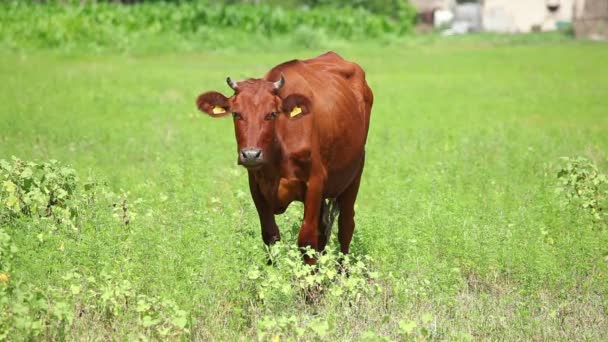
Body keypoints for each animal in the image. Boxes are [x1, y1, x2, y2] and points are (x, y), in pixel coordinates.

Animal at [197, 51, 372, 262]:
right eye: (236, 114)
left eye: (272, 114)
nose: (251, 155)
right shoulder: (256, 185)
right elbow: (270, 235)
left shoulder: (315, 182)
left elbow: (307, 240)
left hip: (355, 173)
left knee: (346, 226)